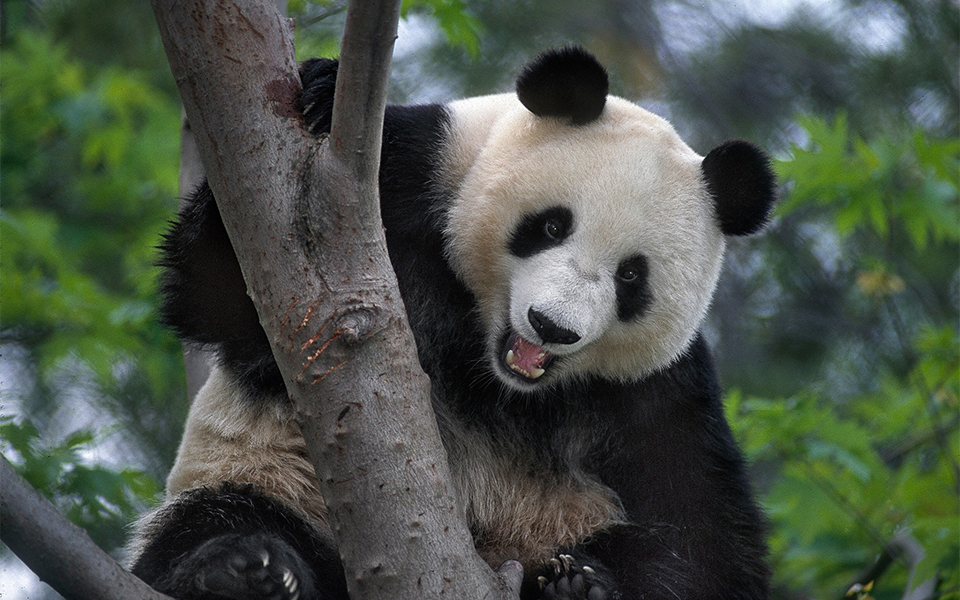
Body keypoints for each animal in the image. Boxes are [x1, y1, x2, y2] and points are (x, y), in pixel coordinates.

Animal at [129, 48, 780, 600]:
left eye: (631, 277)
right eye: (551, 226)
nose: (551, 326)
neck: (491, 369)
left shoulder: (659, 389)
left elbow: (701, 534)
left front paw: (597, 582)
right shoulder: (400, 183)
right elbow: (216, 293)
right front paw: (323, 90)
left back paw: (577, 585)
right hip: (272, 478)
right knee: (217, 519)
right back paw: (247, 572)